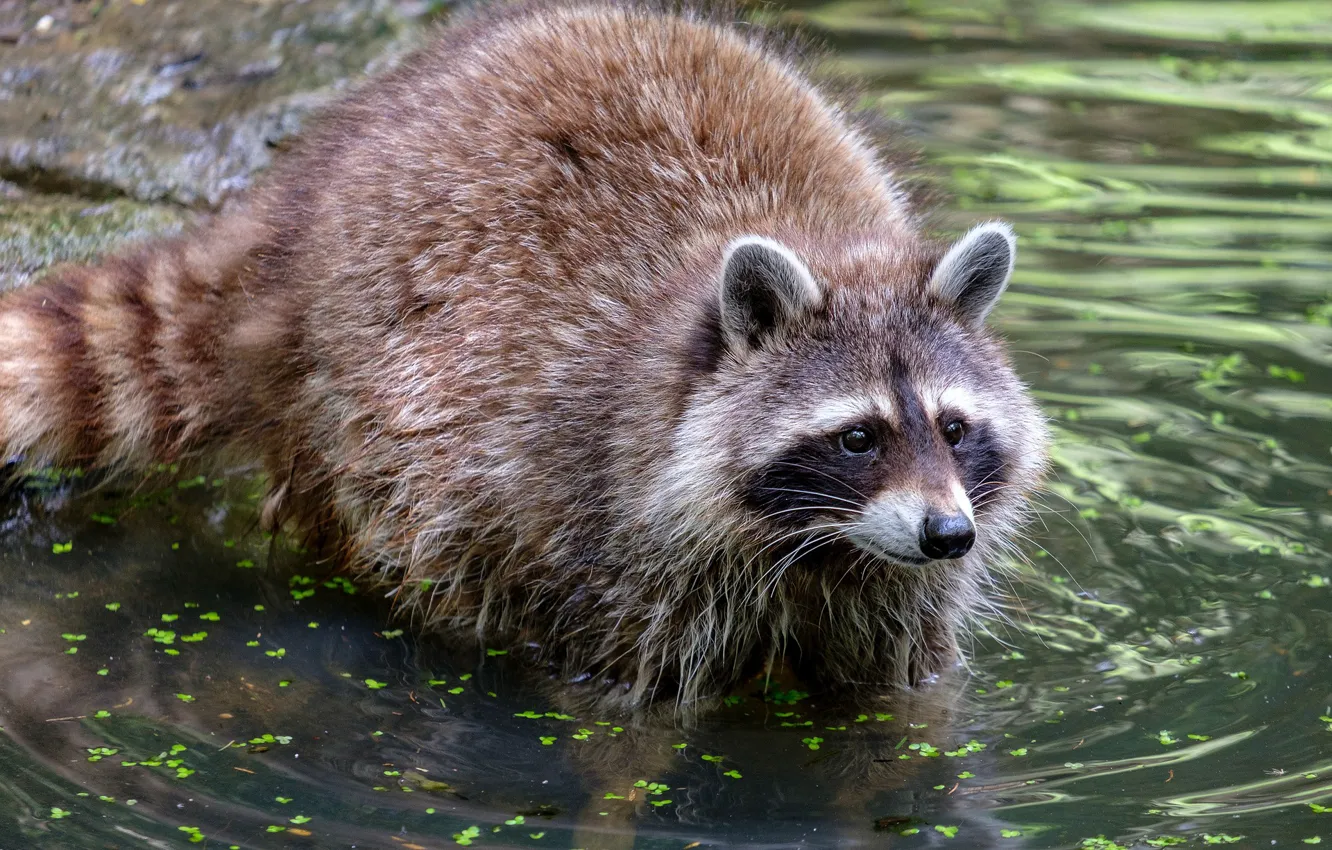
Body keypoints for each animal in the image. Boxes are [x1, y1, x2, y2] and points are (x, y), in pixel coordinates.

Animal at [0, 0, 1048, 708]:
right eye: (858, 436)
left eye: (955, 427)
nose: (947, 534)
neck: (821, 548)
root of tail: (295, 208)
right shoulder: (608, 527)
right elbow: (624, 713)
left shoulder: (897, 584)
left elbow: (903, 703)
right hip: (367, 407)